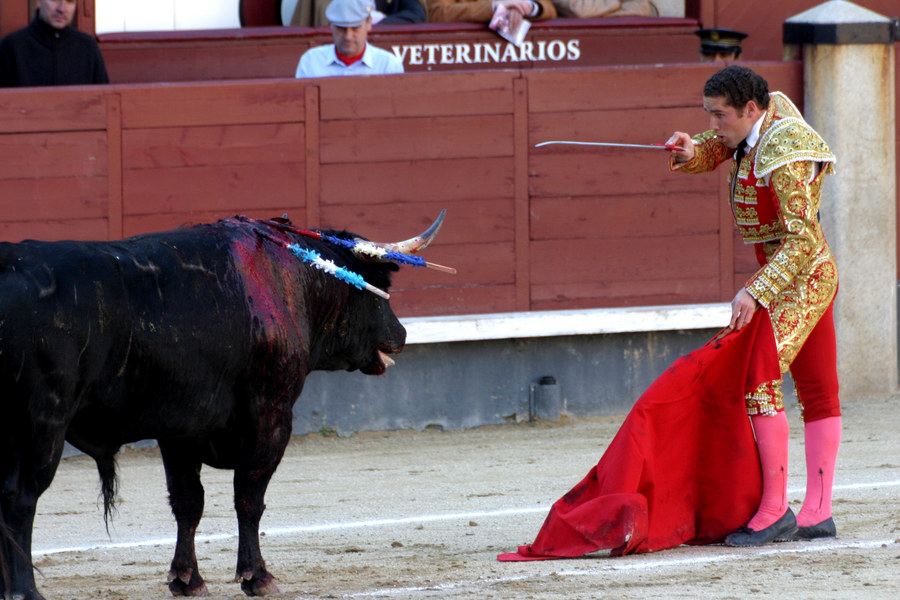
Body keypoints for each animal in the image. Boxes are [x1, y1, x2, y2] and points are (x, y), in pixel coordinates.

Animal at [0, 213, 446, 596]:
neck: (291, 281)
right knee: (20, 501)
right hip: (41, 428)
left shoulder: (180, 428)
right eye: (377, 287)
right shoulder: (272, 416)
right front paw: (257, 577)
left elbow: (188, 503)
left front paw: (187, 580)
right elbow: (248, 497)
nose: (401, 334)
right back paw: (25, 590)